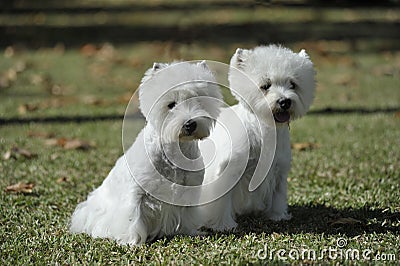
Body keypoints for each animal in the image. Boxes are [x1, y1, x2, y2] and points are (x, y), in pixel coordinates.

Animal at [70, 61, 223, 244]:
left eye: (199, 101)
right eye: (171, 105)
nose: (190, 124)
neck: (174, 151)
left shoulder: (189, 192)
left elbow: (188, 215)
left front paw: (189, 231)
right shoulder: (137, 193)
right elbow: (133, 218)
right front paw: (131, 241)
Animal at [198, 45, 318, 231]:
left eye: (293, 84)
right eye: (265, 85)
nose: (285, 102)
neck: (264, 131)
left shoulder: (279, 171)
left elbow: (278, 195)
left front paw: (277, 216)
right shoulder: (228, 173)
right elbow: (222, 202)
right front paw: (224, 225)